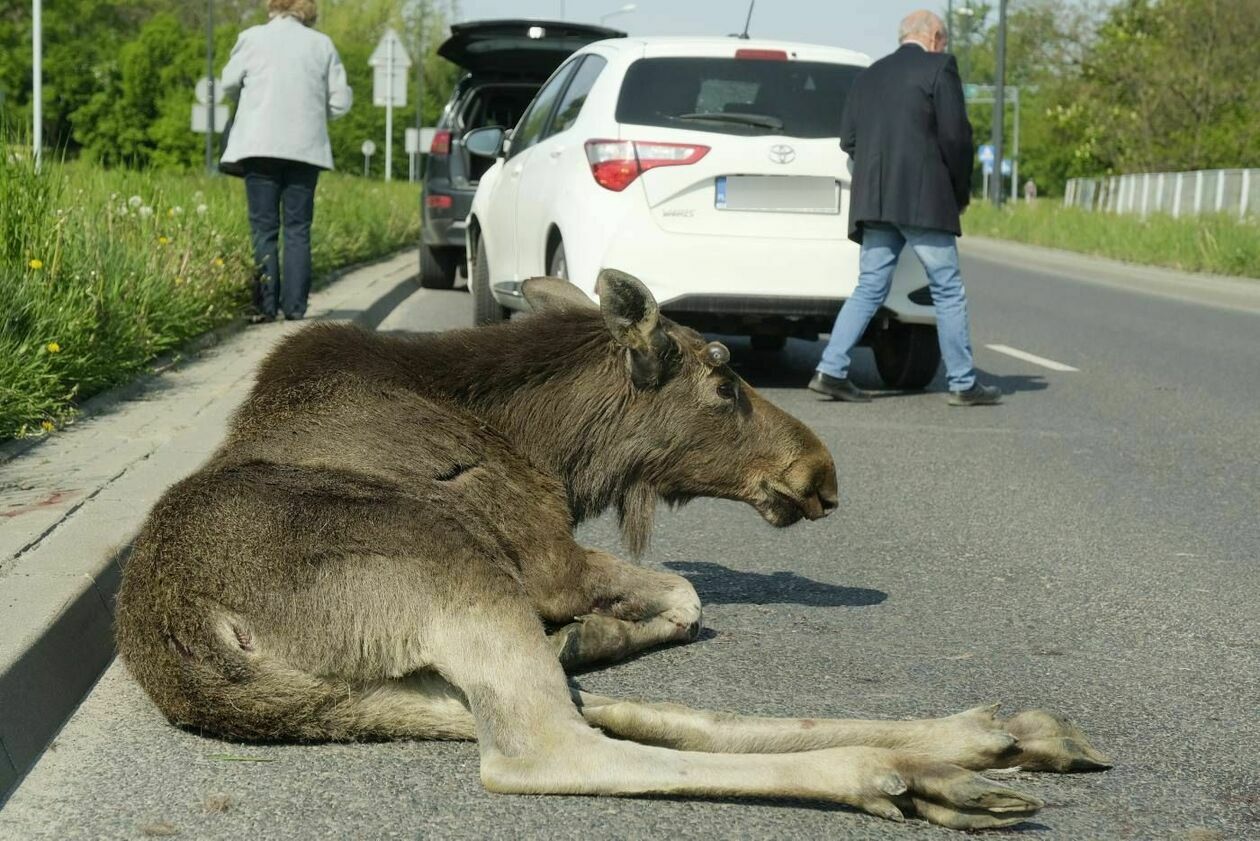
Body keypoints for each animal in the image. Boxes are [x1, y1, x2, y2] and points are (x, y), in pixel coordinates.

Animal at [113, 268, 1108, 827]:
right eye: (723, 381)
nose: (820, 473)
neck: (551, 446)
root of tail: (196, 651)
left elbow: (678, 603)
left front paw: (600, 633)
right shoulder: (547, 560)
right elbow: (686, 595)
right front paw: (609, 624)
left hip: (385, 682)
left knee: (596, 712)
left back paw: (978, 742)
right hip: (449, 562)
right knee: (550, 746)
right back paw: (904, 771)